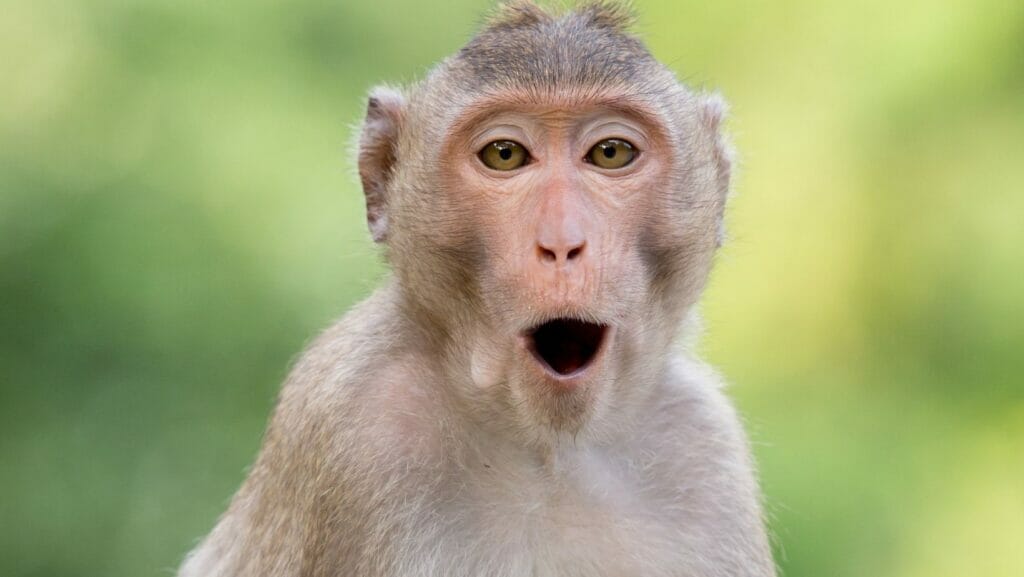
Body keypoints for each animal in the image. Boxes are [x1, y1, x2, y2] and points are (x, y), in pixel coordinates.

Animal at [177, 2, 776, 576]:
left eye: (610, 153)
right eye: (504, 155)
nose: (562, 243)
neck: (545, 450)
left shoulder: (703, 447)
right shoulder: (353, 430)